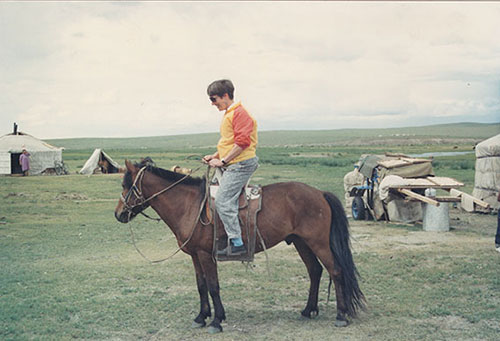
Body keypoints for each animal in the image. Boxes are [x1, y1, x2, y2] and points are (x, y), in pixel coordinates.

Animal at [115, 159, 366, 332]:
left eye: (127, 185)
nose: (118, 214)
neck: (191, 206)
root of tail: (320, 193)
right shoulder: (195, 255)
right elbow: (201, 285)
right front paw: (201, 317)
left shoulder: (206, 255)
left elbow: (213, 286)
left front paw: (216, 320)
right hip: (301, 242)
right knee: (315, 271)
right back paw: (308, 310)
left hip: (318, 243)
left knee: (336, 271)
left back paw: (341, 316)